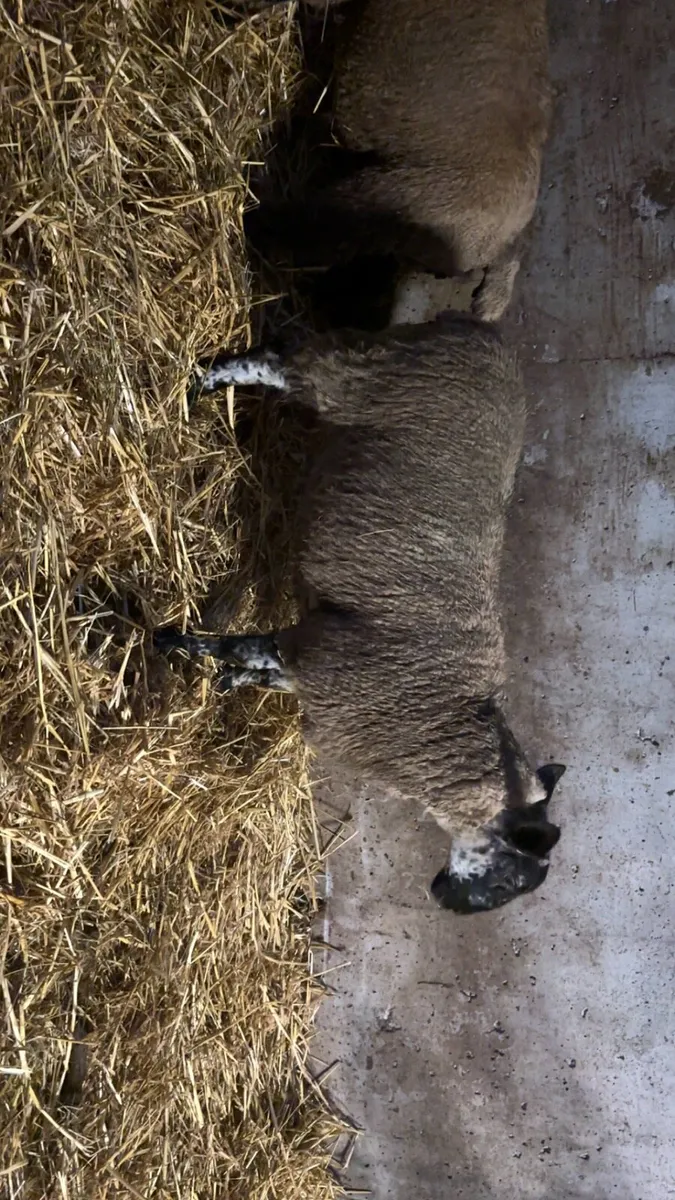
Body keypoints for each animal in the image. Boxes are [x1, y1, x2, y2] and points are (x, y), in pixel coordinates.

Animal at [154, 312, 565, 914]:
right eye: (510, 881)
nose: (442, 899)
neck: (436, 726)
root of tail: (479, 327)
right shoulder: (327, 662)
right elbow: (228, 645)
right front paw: (167, 643)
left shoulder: (317, 664)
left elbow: (261, 669)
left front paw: (231, 681)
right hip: (356, 377)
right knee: (275, 361)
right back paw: (197, 387)